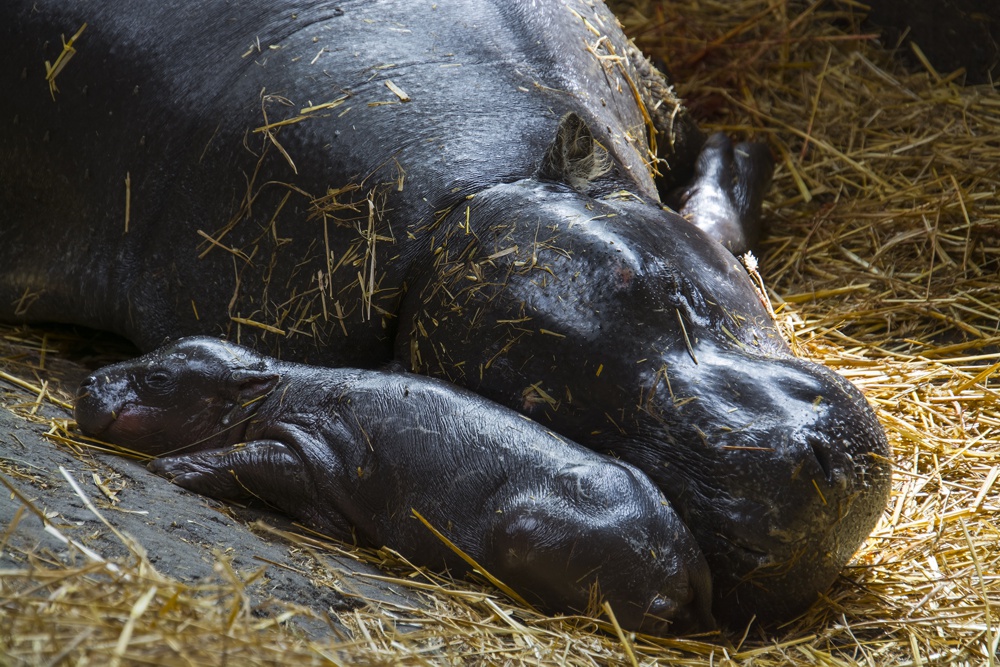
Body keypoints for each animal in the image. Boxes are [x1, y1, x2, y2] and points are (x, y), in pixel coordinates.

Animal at [78, 336, 716, 636]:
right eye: (157, 348)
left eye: (160, 378)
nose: (88, 381)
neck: (268, 391)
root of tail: (690, 552)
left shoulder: (311, 453)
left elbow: (250, 454)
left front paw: (173, 470)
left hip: (526, 528)